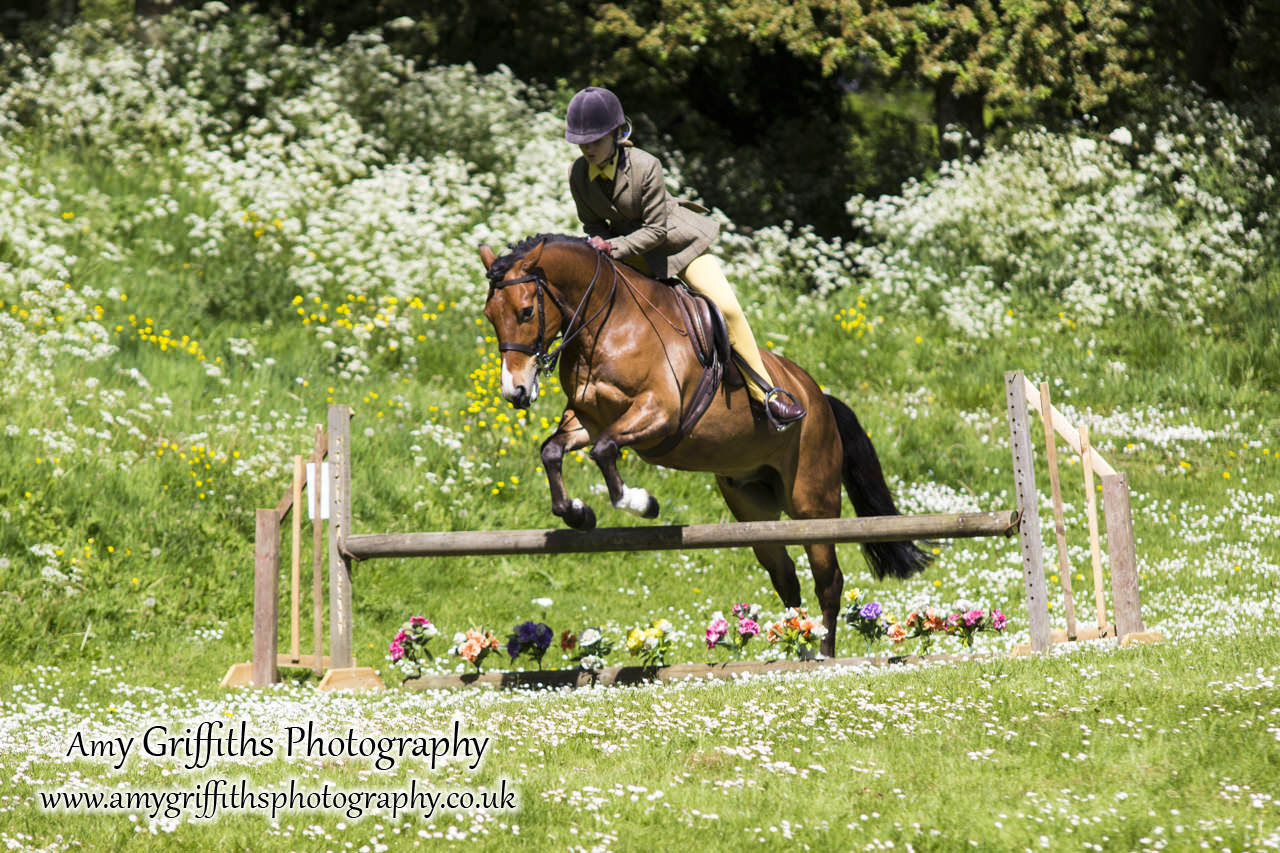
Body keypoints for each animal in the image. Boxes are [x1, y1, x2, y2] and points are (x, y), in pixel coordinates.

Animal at [481, 233, 931, 650]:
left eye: (526, 311)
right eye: (490, 315)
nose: (515, 392)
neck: (608, 327)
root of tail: (818, 398)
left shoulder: (660, 413)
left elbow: (605, 450)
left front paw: (642, 503)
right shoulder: (589, 420)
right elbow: (553, 450)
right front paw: (578, 513)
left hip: (812, 503)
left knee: (829, 580)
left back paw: (822, 654)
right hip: (754, 510)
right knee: (785, 577)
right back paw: (794, 650)